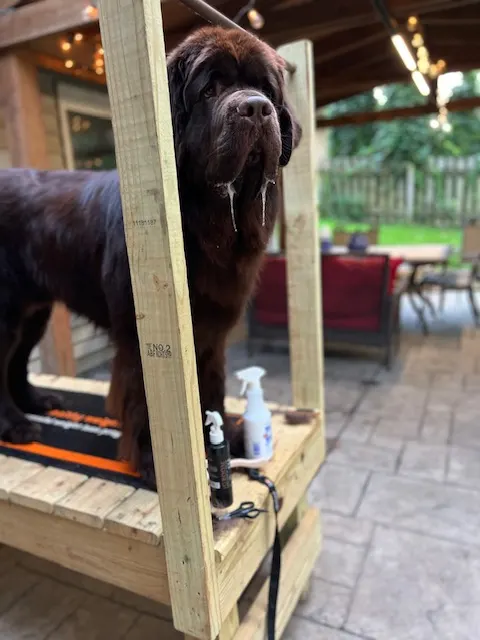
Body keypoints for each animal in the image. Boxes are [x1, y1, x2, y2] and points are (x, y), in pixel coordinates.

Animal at [0, 23, 302, 484]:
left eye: (266, 89)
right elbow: (145, 398)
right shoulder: (141, 336)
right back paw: (15, 424)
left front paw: (221, 442)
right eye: (210, 90)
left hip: (34, 311)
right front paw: (151, 460)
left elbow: (211, 389)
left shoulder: (212, 330)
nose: (255, 108)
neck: (202, 226)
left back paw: (35, 401)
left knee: (17, 361)